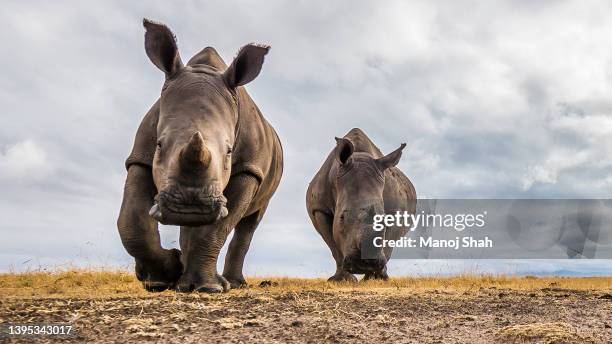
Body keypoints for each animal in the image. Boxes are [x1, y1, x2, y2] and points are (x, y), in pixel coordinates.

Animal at [116, 19, 282, 292]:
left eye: (229, 151)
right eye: (159, 145)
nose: (190, 207)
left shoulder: (249, 169)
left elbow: (217, 228)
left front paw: (208, 288)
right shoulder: (140, 156)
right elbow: (132, 221)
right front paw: (160, 278)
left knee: (249, 223)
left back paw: (232, 284)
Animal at [306, 127, 416, 280]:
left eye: (384, 220)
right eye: (341, 217)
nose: (364, 263)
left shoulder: (397, 212)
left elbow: (388, 243)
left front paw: (379, 278)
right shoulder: (319, 208)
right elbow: (334, 247)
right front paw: (342, 280)